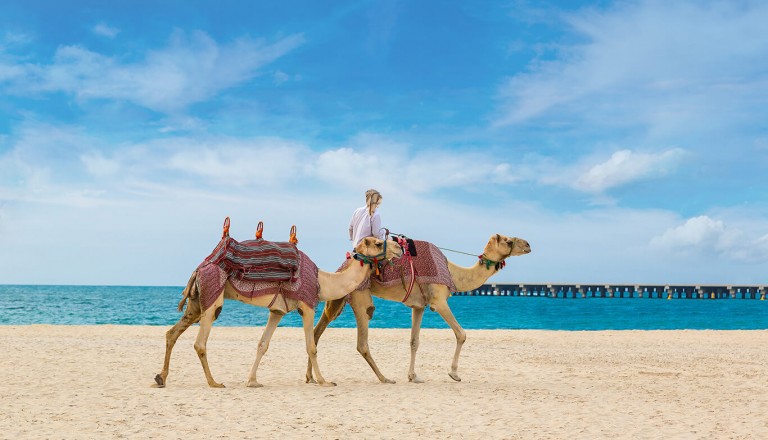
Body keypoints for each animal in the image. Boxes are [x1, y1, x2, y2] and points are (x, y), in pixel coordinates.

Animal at [152, 234, 402, 388]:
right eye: (377, 243)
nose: (399, 247)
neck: (323, 282)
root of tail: (198, 268)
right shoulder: (307, 306)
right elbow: (311, 346)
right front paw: (324, 381)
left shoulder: (277, 311)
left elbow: (263, 344)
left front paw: (252, 381)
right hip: (212, 300)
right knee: (200, 342)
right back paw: (214, 382)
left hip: (196, 302)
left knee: (172, 333)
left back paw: (160, 377)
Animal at [304, 235, 528, 384]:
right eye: (508, 241)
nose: (528, 244)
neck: (453, 273)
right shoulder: (439, 301)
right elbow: (461, 334)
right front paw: (454, 373)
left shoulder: (419, 306)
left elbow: (414, 341)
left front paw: (413, 376)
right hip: (360, 296)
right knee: (362, 341)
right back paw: (384, 378)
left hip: (338, 297)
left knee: (317, 332)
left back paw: (311, 378)